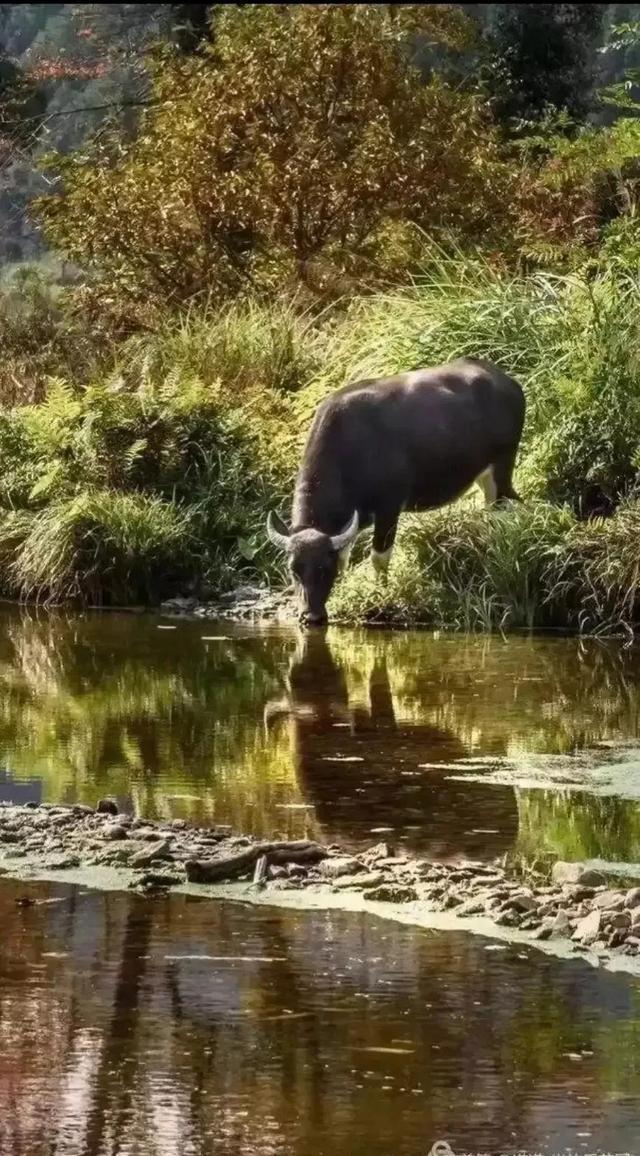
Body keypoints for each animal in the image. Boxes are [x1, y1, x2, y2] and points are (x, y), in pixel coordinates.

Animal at [266, 358, 519, 624]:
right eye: (293, 569)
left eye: (324, 568)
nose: (310, 616)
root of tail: (509, 382)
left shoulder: (389, 509)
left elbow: (379, 557)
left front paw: (381, 593)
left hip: (502, 470)